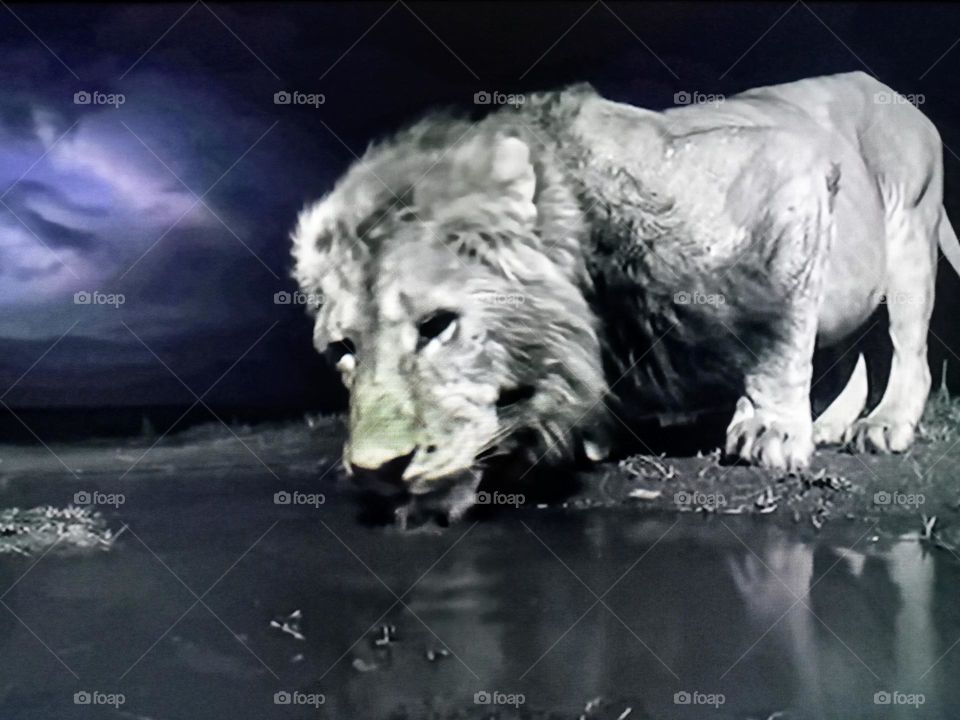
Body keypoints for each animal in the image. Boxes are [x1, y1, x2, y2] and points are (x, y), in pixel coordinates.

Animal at [292, 71, 960, 523]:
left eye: (437, 325)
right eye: (343, 349)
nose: (377, 472)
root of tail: (889, 90)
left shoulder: (788, 169)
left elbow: (778, 336)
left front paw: (768, 430)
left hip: (910, 226)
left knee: (908, 350)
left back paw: (883, 425)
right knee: (849, 350)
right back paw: (832, 422)